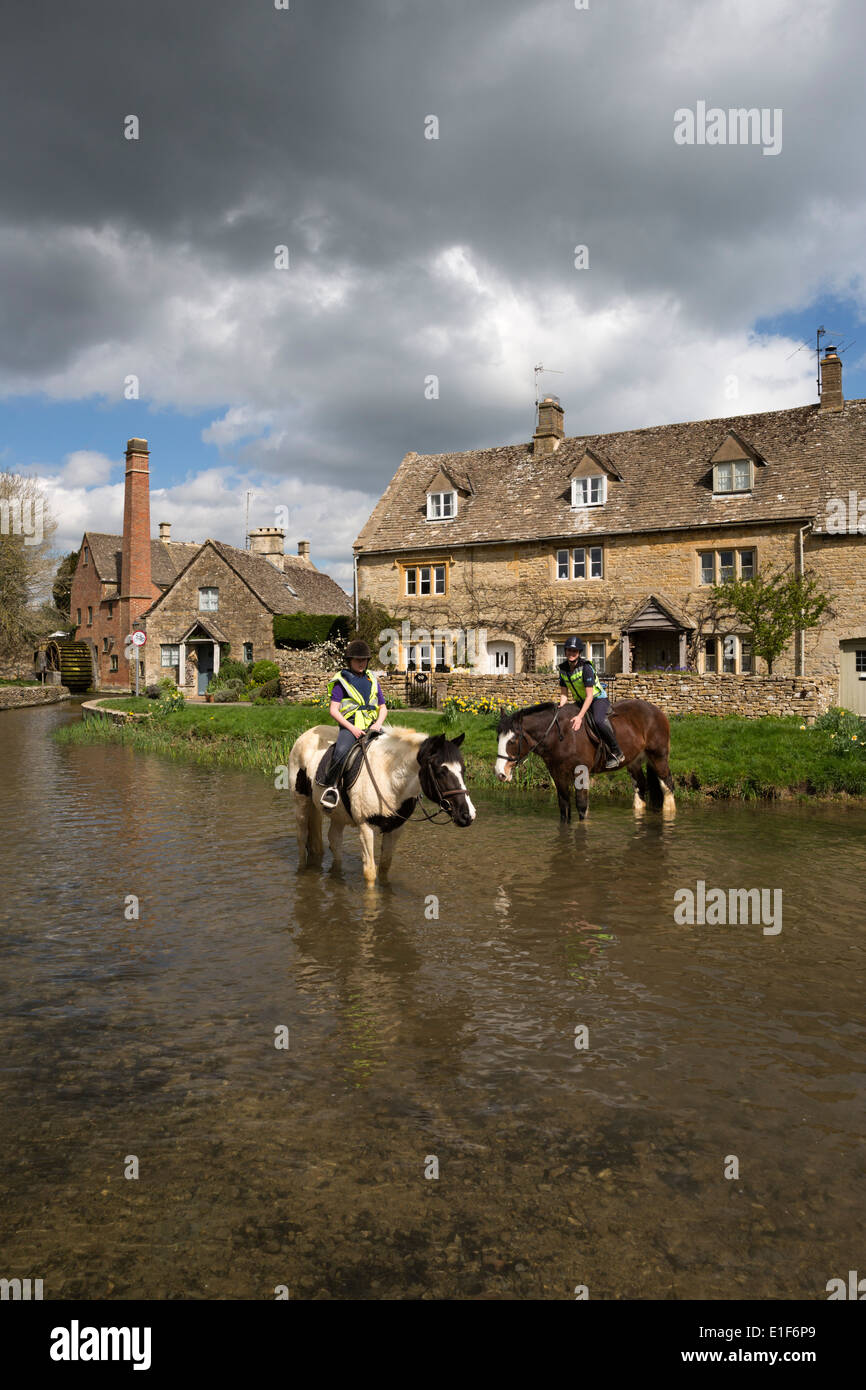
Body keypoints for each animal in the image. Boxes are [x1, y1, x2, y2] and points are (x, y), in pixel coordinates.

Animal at [289, 722, 475, 884]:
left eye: (463, 770)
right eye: (440, 772)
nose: (467, 815)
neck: (389, 777)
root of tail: (306, 734)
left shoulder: (395, 829)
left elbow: (385, 867)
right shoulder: (366, 827)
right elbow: (370, 872)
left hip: (337, 815)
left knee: (334, 841)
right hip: (301, 803)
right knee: (301, 839)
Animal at [494, 700, 678, 817]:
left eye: (513, 740)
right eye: (498, 739)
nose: (500, 773)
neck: (559, 735)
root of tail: (656, 710)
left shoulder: (580, 772)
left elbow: (582, 806)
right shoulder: (558, 774)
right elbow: (564, 806)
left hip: (658, 757)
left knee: (667, 785)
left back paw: (669, 812)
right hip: (634, 761)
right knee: (640, 786)